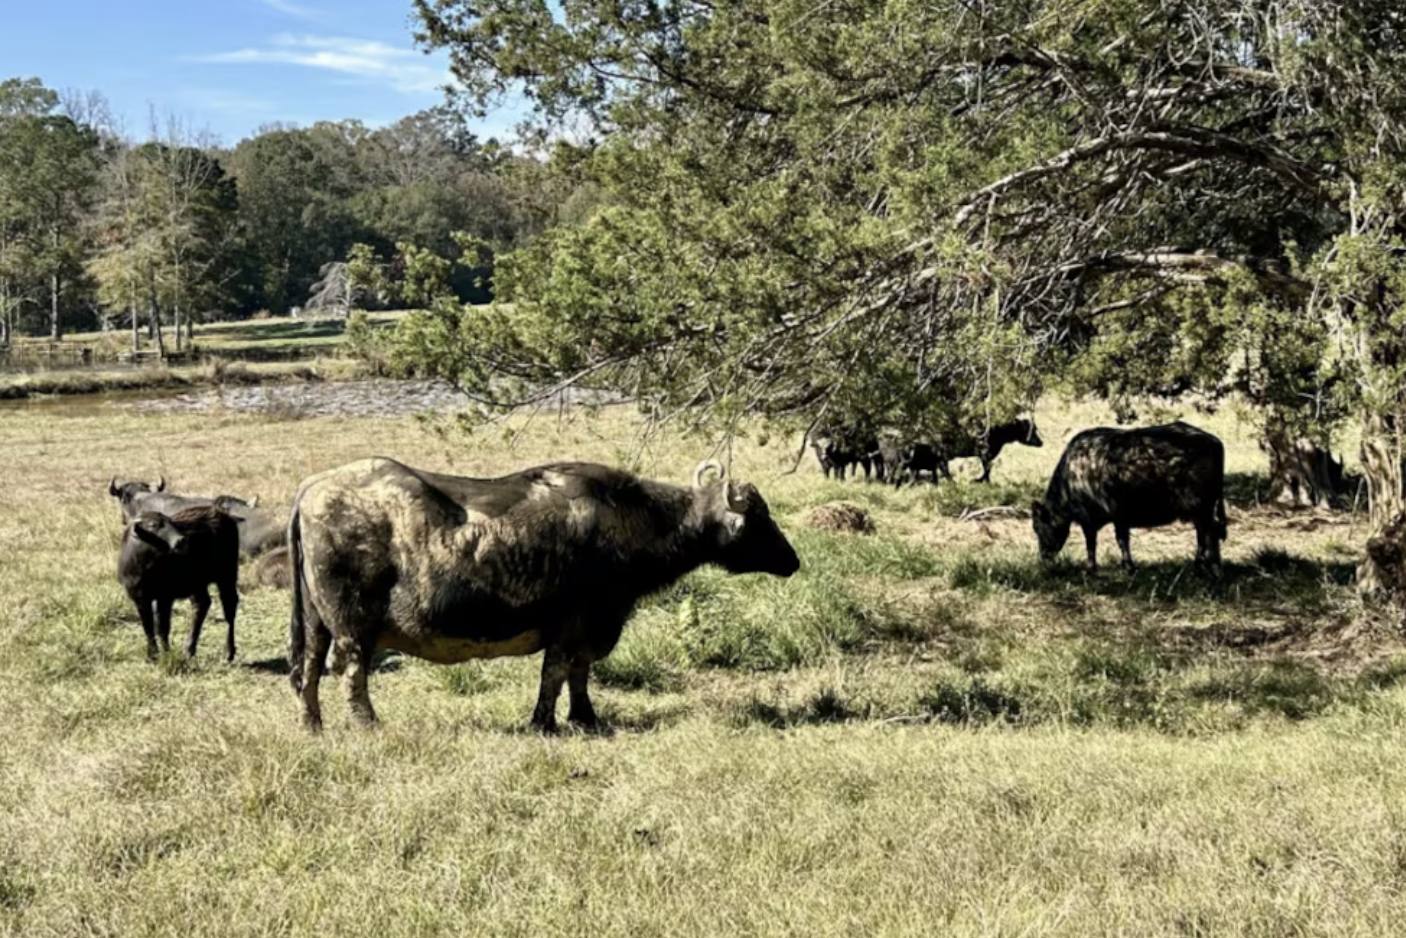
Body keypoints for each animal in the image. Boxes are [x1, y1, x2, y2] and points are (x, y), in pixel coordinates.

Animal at [117, 506, 241, 661]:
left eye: (170, 522)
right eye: (153, 525)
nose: (181, 539)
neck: (145, 566)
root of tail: (222, 514)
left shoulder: (165, 597)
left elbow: (162, 627)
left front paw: (166, 653)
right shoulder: (140, 598)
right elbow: (148, 627)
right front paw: (153, 654)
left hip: (227, 575)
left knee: (229, 608)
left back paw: (228, 652)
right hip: (197, 583)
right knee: (202, 604)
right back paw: (189, 650)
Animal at [287, 458, 801, 731]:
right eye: (760, 519)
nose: (793, 560)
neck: (627, 521)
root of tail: (309, 490)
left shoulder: (590, 630)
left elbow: (579, 674)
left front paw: (585, 717)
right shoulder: (576, 623)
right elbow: (556, 673)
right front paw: (544, 721)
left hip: (315, 621)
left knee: (307, 670)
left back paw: (313, 726)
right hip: (354, 625)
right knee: (350, 673)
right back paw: (368, 725)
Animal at [1031, 421, 1228, 570]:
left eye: (1038, 528)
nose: (1043, 557)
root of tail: (1214, 440)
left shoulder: (1095, 518)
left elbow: (1098, 543)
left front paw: (1095, 568)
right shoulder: (1116, 516)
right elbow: (1117, 541)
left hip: (1200, 508)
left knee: (1209, 533)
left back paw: (1206, 566)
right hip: (1203, 510)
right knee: (1208, 534)